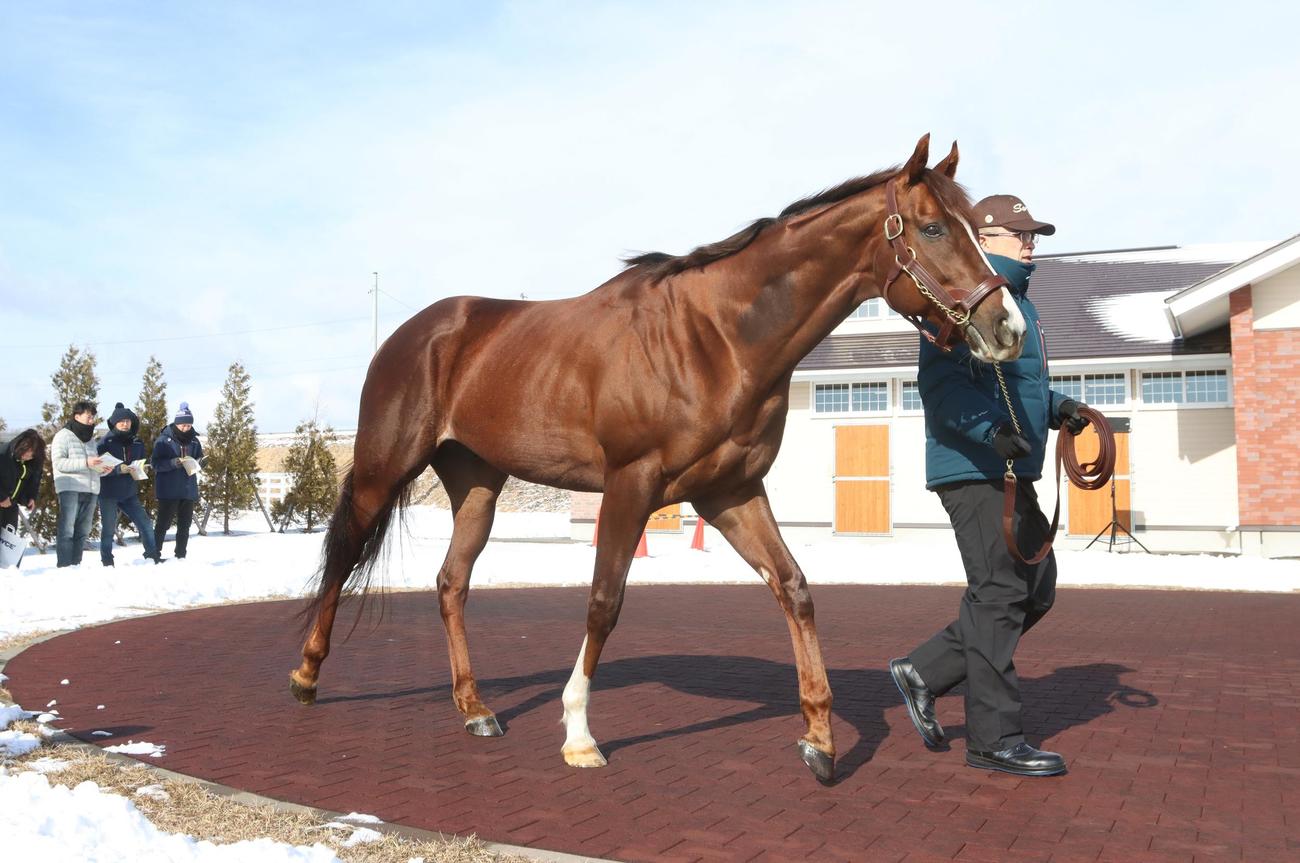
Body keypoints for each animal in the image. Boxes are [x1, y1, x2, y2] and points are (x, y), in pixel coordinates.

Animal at [289, 134, 1026, 784]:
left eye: (972, 227)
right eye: (932, 228)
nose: (1008, 328)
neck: (718, 339)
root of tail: (416, 332)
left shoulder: (731, 493)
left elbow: (794, 588)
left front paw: (819, 739)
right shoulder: (630, 484)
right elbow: (604, 602)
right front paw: (579, 734)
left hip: (477, 484)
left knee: (451, 583)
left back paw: (475, 709)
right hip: (384, 469)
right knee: (345, 555)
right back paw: (305, 675)